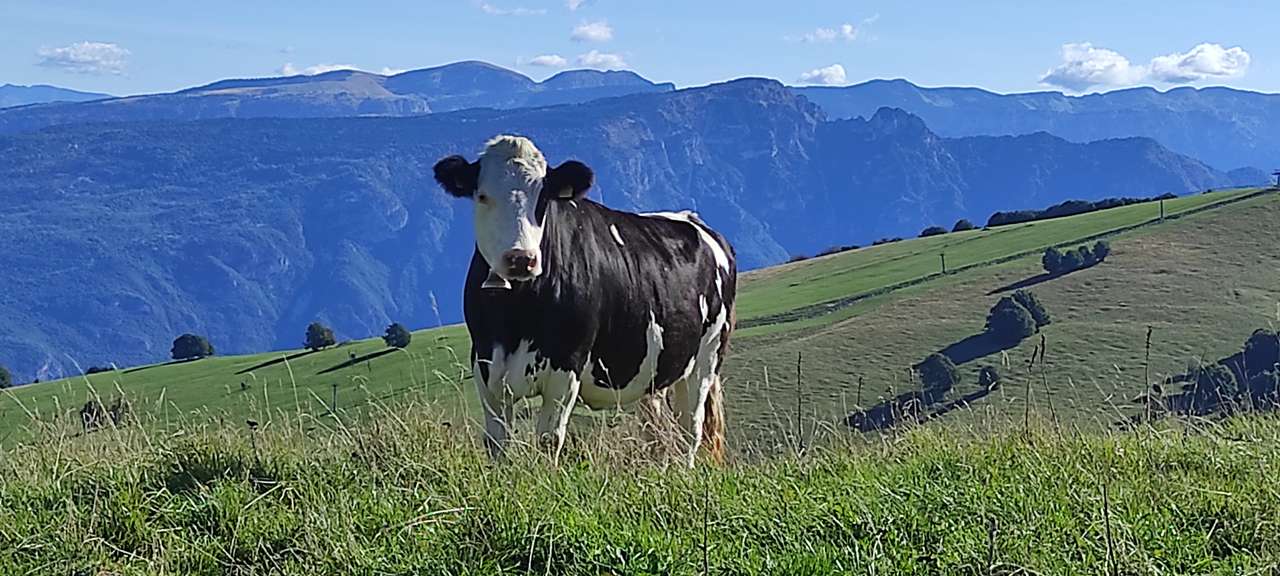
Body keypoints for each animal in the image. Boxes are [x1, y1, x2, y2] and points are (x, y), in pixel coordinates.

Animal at [432, 136, 742, 468]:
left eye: (543, 199)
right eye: (482, 196)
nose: (521, 258)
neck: (516, 315)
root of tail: (692, 219)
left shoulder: (566, 366)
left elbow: (548, 440)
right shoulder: (486, 366)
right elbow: (496, 444)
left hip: (705, 359)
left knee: (690, 430)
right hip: (653, 370)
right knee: (656, 427)